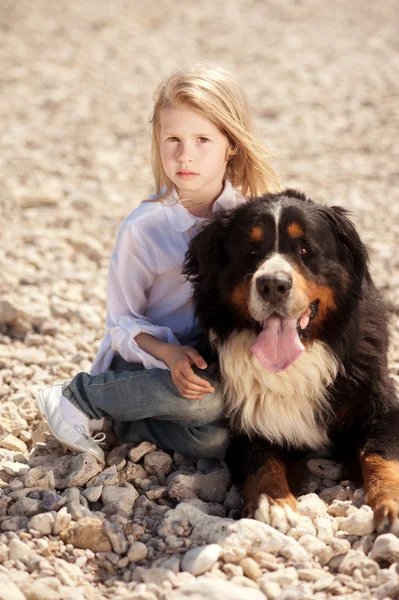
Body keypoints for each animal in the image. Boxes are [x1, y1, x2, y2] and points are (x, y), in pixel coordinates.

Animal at [184, 190, 399, 532]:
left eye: (305, 249)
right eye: (250, 251)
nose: (273, 284)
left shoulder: (381, 403)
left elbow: (381, 453)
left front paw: (390, 504)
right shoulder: (245, 421)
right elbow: (260, 460)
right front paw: (274, 504)